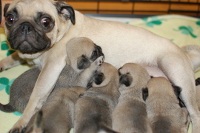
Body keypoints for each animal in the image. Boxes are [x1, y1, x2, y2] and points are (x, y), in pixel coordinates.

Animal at [1, 0, 200, 132]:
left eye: (46, 22)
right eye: (9, 19)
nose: (25, 26)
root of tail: (186, 55)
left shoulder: (51, 69)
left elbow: (35, 97)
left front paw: (21, 122)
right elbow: (12, 56)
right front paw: (3, 63)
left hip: (176, 72)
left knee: (195, 113)